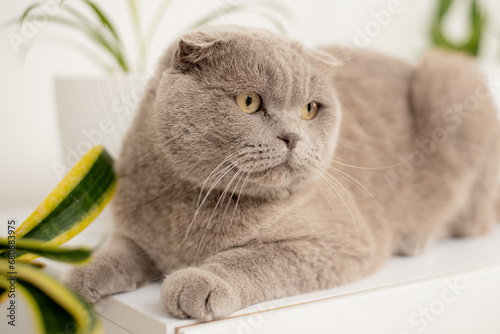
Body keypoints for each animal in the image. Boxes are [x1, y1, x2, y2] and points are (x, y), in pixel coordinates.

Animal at [64, 25, 500, 320]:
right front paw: (79, 280)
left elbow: (254, 258)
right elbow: (118, 252)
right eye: (249, 101)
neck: (192, 207)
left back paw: (418, 238)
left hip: (452, 81)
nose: (292, 137)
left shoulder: (340, 243)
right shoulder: (138, 232)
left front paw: (198, 283)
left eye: (309, 109)